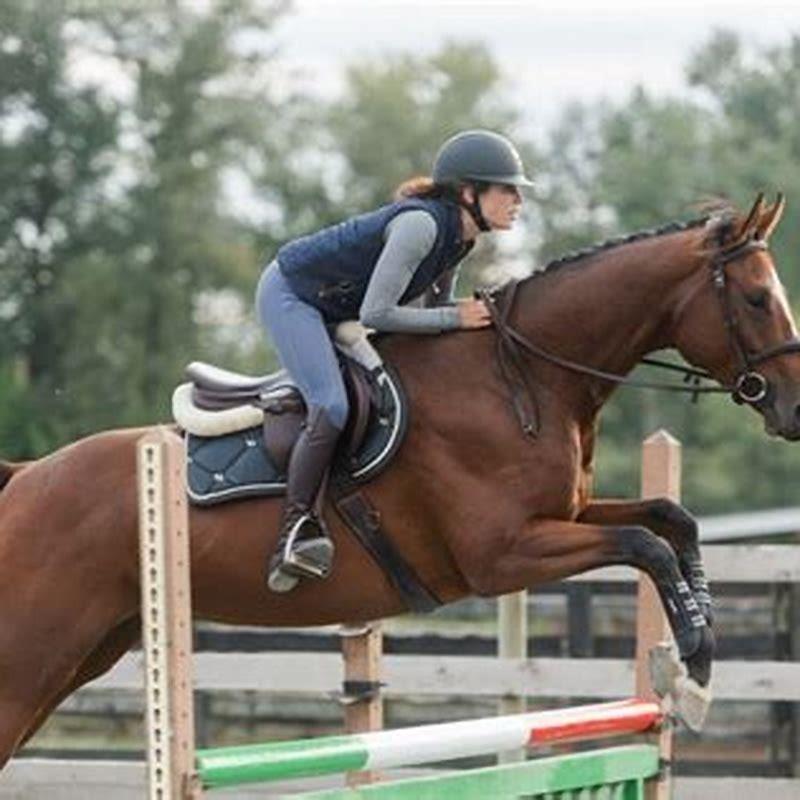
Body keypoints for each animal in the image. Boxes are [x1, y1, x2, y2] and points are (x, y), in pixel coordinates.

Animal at [0, 193, 797, 764]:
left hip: (89, 646)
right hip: (33, 653)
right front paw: (692, 666)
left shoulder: (562, 516)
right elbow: (645, 543)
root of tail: (26, 479)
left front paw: (697, 664)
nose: (793, 409)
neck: (524, 377)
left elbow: (669, 518)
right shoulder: (503, 555)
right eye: (758, 299)